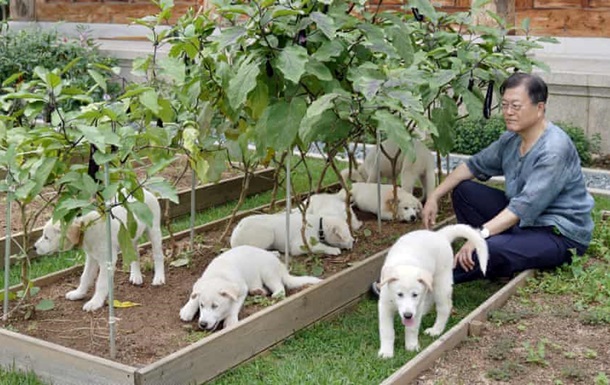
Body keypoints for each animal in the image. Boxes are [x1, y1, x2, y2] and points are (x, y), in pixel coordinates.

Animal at [33, 189, 165, 312]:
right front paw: (78, 293)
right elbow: (85, 277)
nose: (34, 247)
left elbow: (100, 283)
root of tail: (144, 191)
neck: (86, 228)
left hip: (154, 230)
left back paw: (159, 278)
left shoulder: (107, 261)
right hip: (130, 237)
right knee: (135, 254)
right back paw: (136, 276)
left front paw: (95, 302)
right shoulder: (91, 258)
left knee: (158, 255)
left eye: (46, 237)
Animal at [179, 246, 324, 330]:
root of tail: (281, 265)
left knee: (280, 287)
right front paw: (187, 309)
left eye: (215, 306)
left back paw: (274, 294)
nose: (202, 324)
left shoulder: (241, 290)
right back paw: (257, 291)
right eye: (202, 305)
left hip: (268, 272)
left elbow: (234, 306)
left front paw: (230, 320)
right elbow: (194, 295)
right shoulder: (201, 283)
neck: (219, 275)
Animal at [376, 222, 490, 356]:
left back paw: (436, 330)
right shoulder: (384, 306)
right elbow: (387, 331)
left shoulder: (417, 305)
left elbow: (412, 329)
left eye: (415, 295)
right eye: (399, 294)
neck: (405, 263)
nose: (408, 315)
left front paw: (411, 346)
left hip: (441, 283)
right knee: (429, 297)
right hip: (430, 282)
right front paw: (386, 352)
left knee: (444, 307)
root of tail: (440, 235)